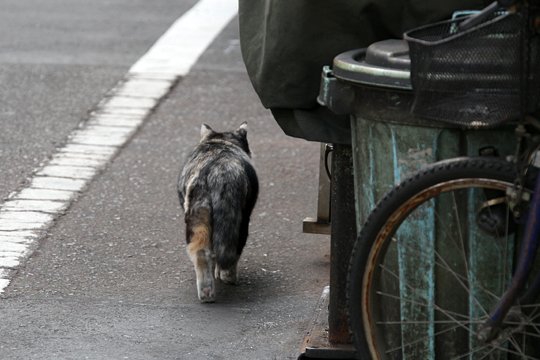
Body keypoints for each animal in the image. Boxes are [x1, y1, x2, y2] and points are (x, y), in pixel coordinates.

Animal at [178, 122, 258, 302]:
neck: (220, 141)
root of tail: (219, 171)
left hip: (198, 215)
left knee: (202, 252)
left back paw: (206, 293)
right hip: (240, 219)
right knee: (233, 248)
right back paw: (229, 278)